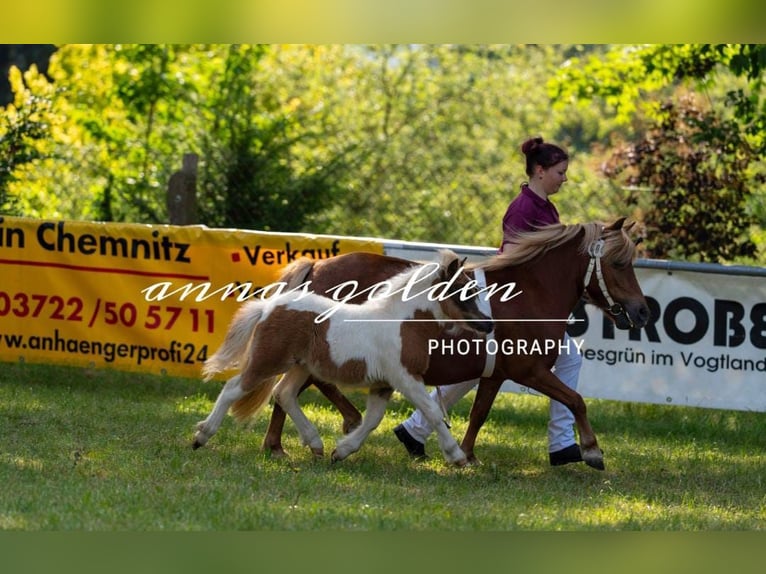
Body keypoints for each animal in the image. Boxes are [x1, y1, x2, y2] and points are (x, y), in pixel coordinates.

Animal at [192, 249, 494, 466]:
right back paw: (201, 436)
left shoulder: (383, 384)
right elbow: (432, 412)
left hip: (301, 367)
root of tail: (269, 307)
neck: (402, 322)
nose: (488, 324)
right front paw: (457, 456)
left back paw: (315, 444)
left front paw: (342, 450)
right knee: (234, 388)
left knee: (284, 393)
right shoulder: (405, 377)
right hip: (269, 360)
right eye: (463, 292)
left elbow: (373, 419)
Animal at [260, 218, 650, 470]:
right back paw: (290, 441)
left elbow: (479, 412)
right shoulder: (530, 370)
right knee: (296, 388)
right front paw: (591, 451)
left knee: (294, 389)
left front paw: (464, 453)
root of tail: (318, 268)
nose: (643, 311)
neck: (529, 294)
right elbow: (576, 400)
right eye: (619, 263)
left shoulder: (496, 373)